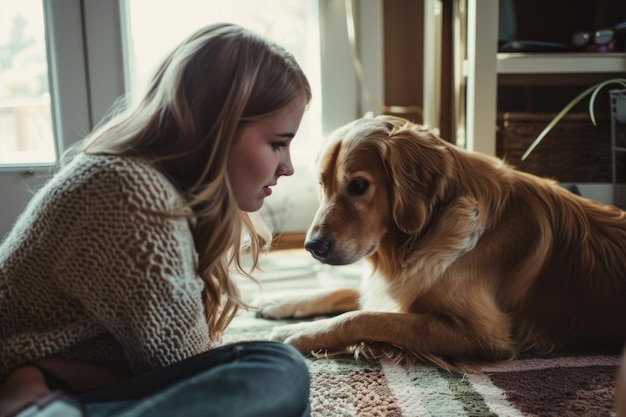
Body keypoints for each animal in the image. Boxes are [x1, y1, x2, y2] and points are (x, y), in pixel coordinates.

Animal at [255, 114, 624, 368]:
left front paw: (299, 333)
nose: (312, 246)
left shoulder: (481, 333)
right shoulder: (404, 283)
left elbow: (362, 317)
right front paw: (280, 302)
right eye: (321, 185)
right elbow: (343, 292)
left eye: (359, 186)